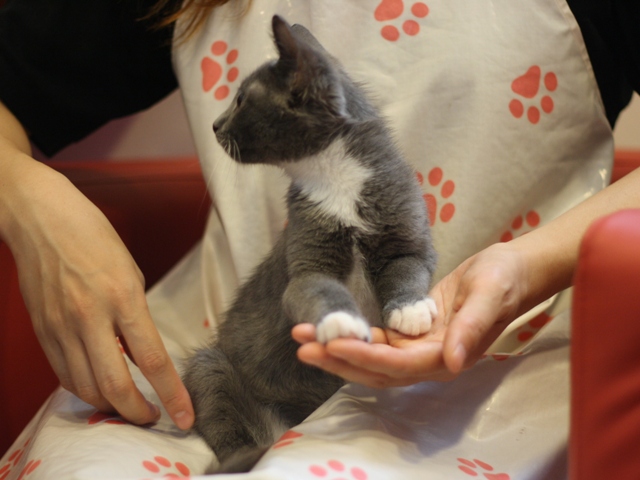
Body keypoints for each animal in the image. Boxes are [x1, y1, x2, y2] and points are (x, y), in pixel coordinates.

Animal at [182, 14, 438, 472]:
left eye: (241, 100)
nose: (214, 125)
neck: (334, 177)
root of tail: (282, 429)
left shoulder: (404, 232)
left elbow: (408, 267)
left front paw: (410, 310)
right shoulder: (307, 260)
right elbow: (315, 288)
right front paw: (340, 322)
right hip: (211, 366)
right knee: (219, 407)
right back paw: (246, 454)